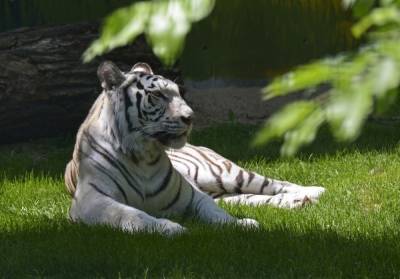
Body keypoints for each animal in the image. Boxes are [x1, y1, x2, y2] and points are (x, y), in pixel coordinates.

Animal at [63, 61, 324, 236]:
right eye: (157, 95)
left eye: (179, 93)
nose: (190, 117)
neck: (144, 156)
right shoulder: (91, 200)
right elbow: (131, 214)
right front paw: (169, 228)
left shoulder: (193, 195)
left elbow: (216, 213)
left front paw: (240, 224)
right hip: (225, 190)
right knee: (253, 198)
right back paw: (299, 202)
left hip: (224, 173)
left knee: (274, 183)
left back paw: (314, 191)